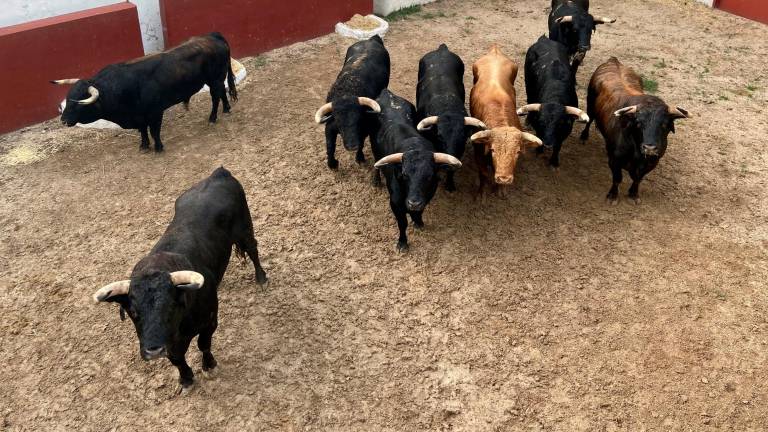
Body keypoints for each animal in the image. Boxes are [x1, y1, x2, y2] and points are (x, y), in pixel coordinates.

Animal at [53, 31, 237, 152]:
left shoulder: (155, 112)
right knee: (222, 92)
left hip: (214, 79)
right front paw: (144, 146)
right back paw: (226, 109)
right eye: (68, 99)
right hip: (216, 80)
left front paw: (158, 147)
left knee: (215, 97)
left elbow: (154, 131)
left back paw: (212, 118)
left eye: (79, 104)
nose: (63, 120)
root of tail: (212, 36)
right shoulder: (138, 115)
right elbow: (142, 130)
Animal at [468, 44, 540, 196]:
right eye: (493, 150)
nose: (504, 178)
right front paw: (481, 193)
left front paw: (500, 189)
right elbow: (483, 174)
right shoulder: (478, 153)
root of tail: (495, 51)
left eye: (517, 152)